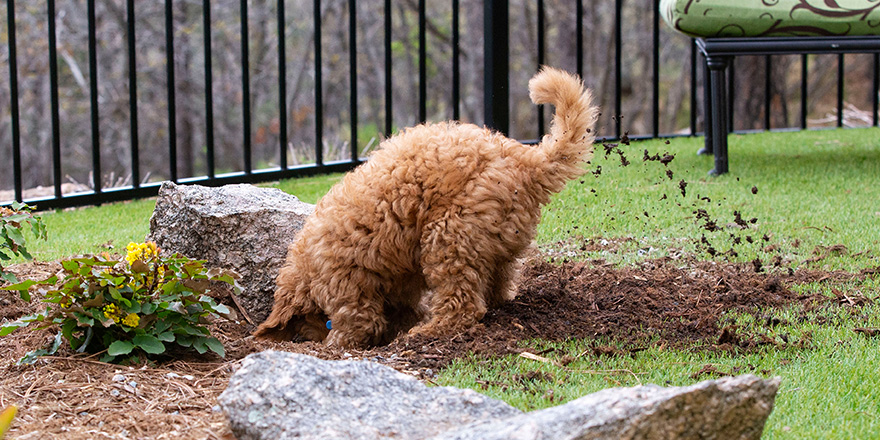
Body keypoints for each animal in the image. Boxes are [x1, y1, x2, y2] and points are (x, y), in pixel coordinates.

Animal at [254, 66, 600, 348]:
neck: (308, 263)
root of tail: (525, 160)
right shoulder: (398, 284)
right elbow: (400, 310)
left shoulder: (345, 283)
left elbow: (356, 321)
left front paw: (337, 346)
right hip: (494, 245)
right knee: (496, 288)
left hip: (449, 235)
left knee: (463, 306)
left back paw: (426, 333)